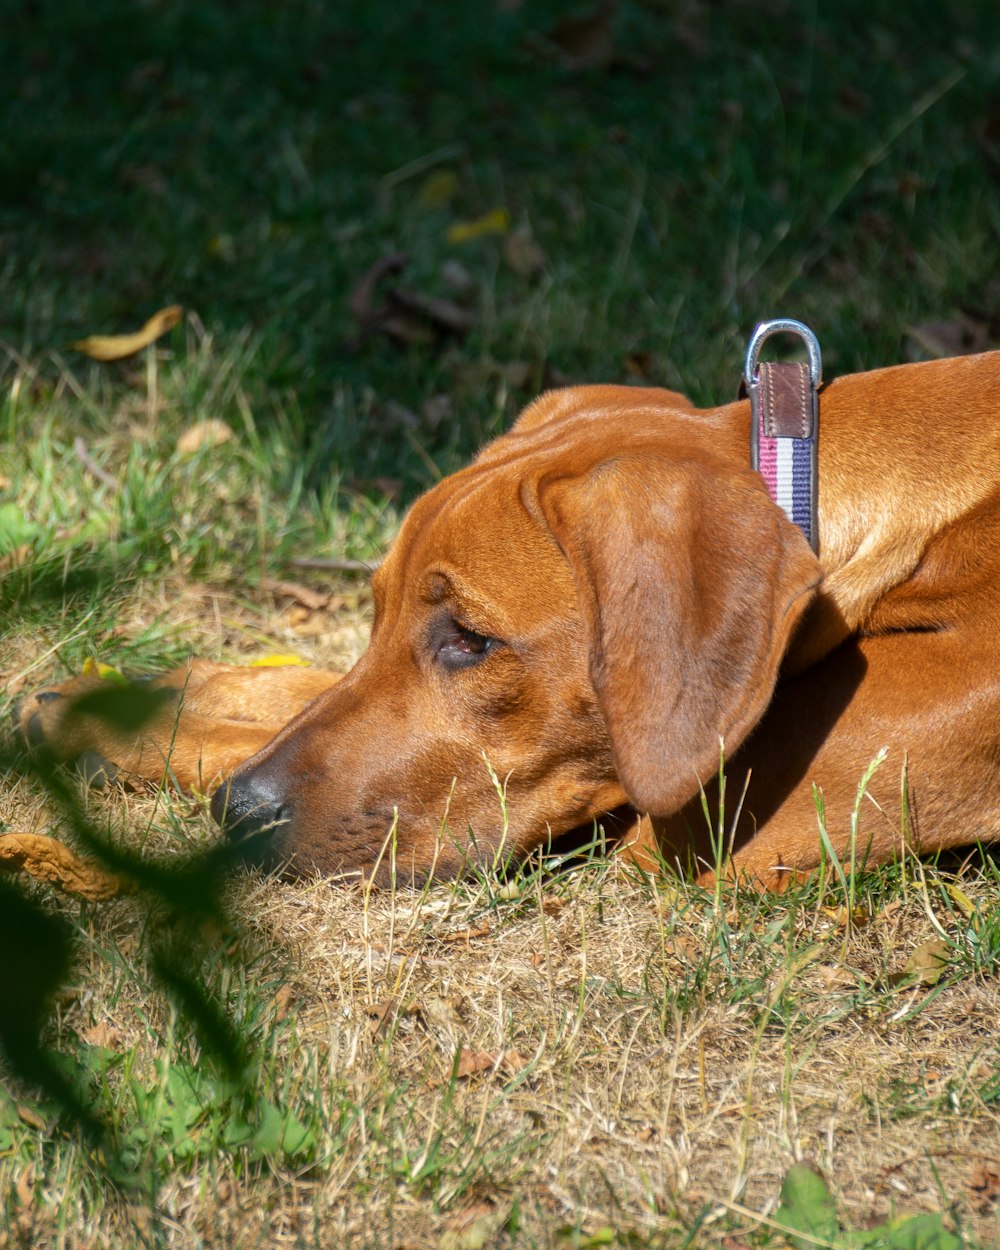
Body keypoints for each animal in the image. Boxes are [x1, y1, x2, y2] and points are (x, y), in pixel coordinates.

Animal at [21, 347, 1000, 885]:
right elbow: (314, 688)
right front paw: (138, 706)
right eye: (375, 613)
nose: (239, 811)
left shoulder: (712, 818)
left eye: (470, 640)